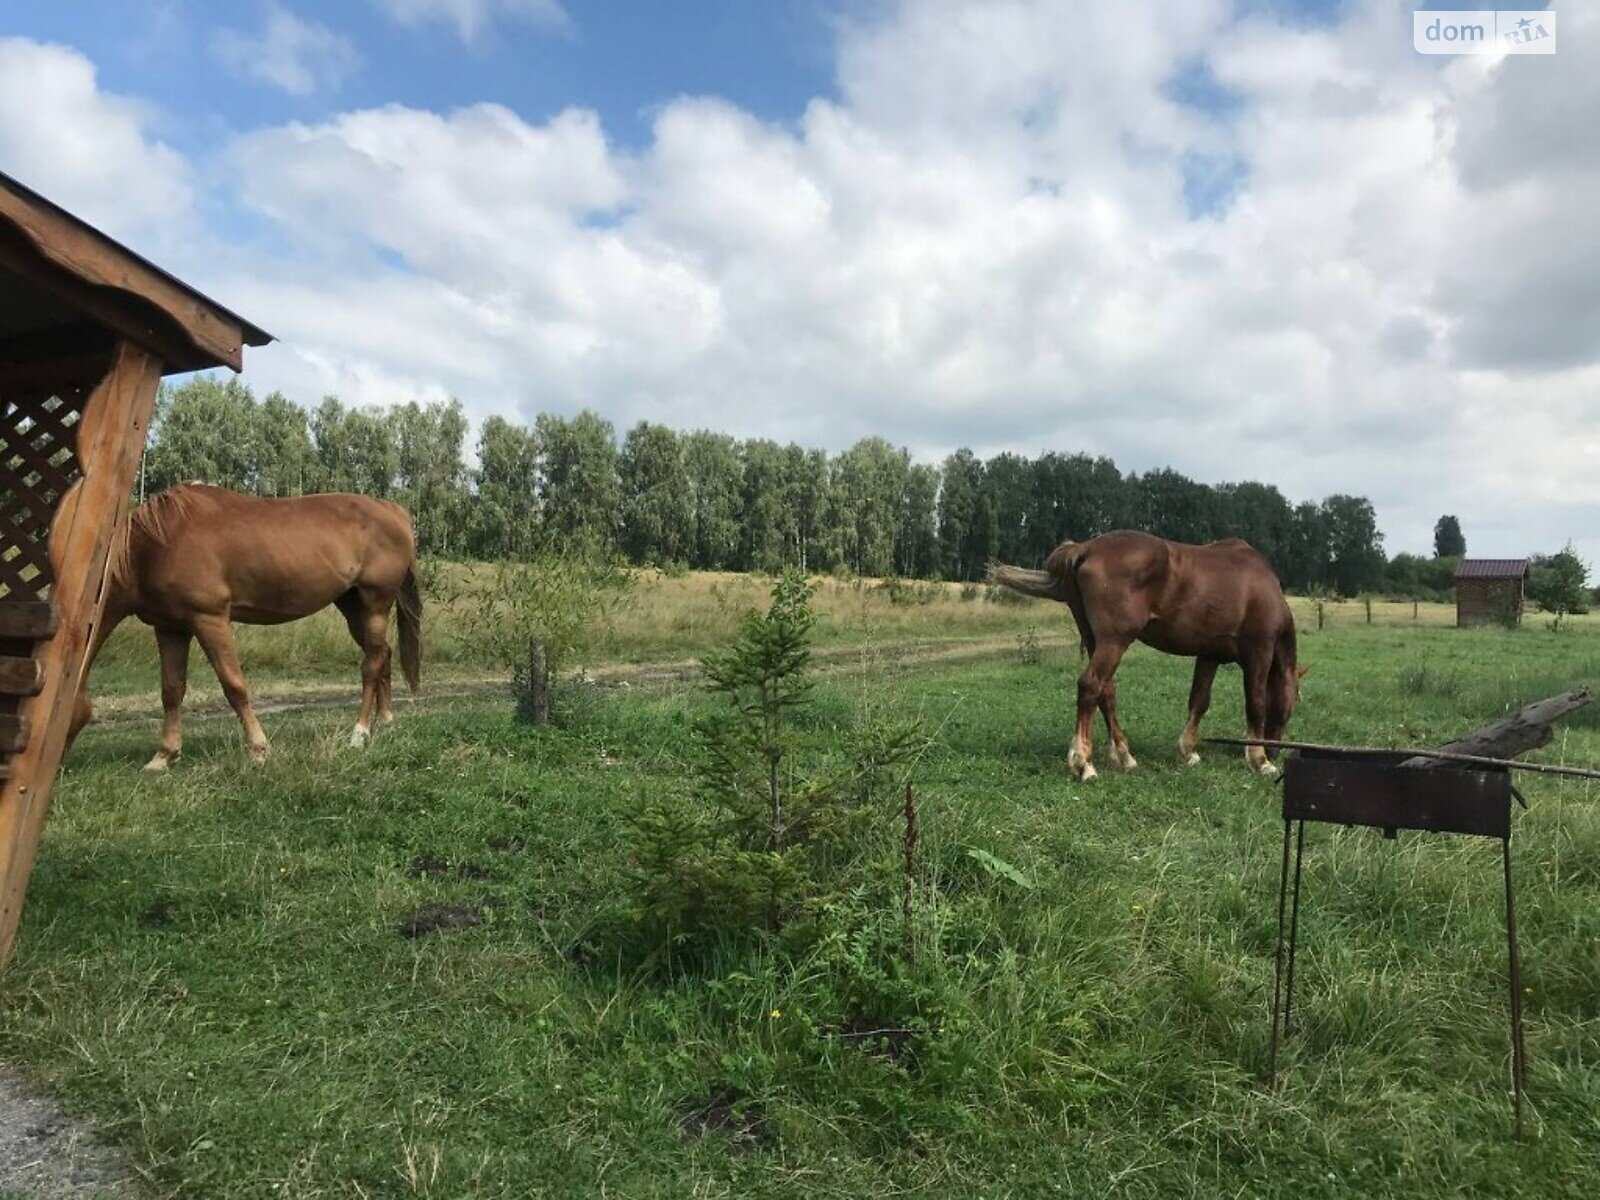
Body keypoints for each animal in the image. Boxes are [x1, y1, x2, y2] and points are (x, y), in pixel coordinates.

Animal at [69, 486, 422, 771]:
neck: (154, 546)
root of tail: (396, 511)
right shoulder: (170, 628)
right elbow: (171, 691)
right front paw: (163, 757)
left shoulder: (209, 619)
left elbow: (234, 685)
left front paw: (258, 750)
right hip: (352, 607)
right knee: (383, 655)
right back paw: (385, 721)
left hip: (375, 604)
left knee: (371, 664)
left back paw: (359, 734)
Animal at [985, 534, 1312, 780]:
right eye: (1292, 704)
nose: (1275, 751)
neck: (1265, 587)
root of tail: (1086, 548)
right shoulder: (1259, 652)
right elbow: (1255, 703)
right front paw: (1259, 760)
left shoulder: (1209, 656)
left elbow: (1199, 701)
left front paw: (1189, 751)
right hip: (1114, 641)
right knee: (1090, 686)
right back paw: (1084, 763)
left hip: (1096, 641)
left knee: (1106, 691)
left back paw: (1124, 755)